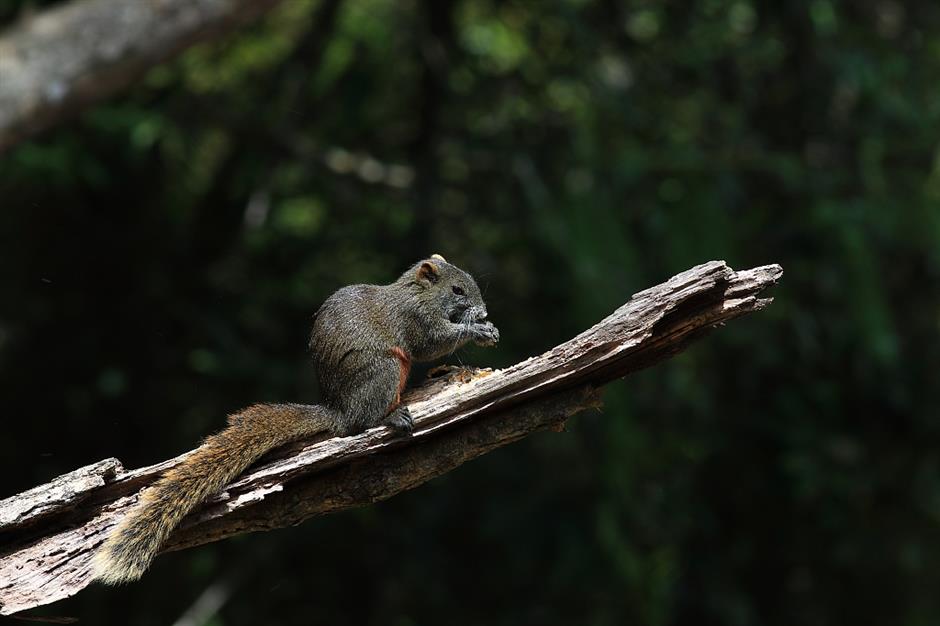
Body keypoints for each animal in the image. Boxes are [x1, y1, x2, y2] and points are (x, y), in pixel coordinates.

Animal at [92, 251, 500, 584]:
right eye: (458, 290)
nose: (483, 312)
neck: (416, 293)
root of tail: (339, 411)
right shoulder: (416, 320)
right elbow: (433, 343)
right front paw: (476, 330)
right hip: (382, 371)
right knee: (362, 421)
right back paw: (390, 417)